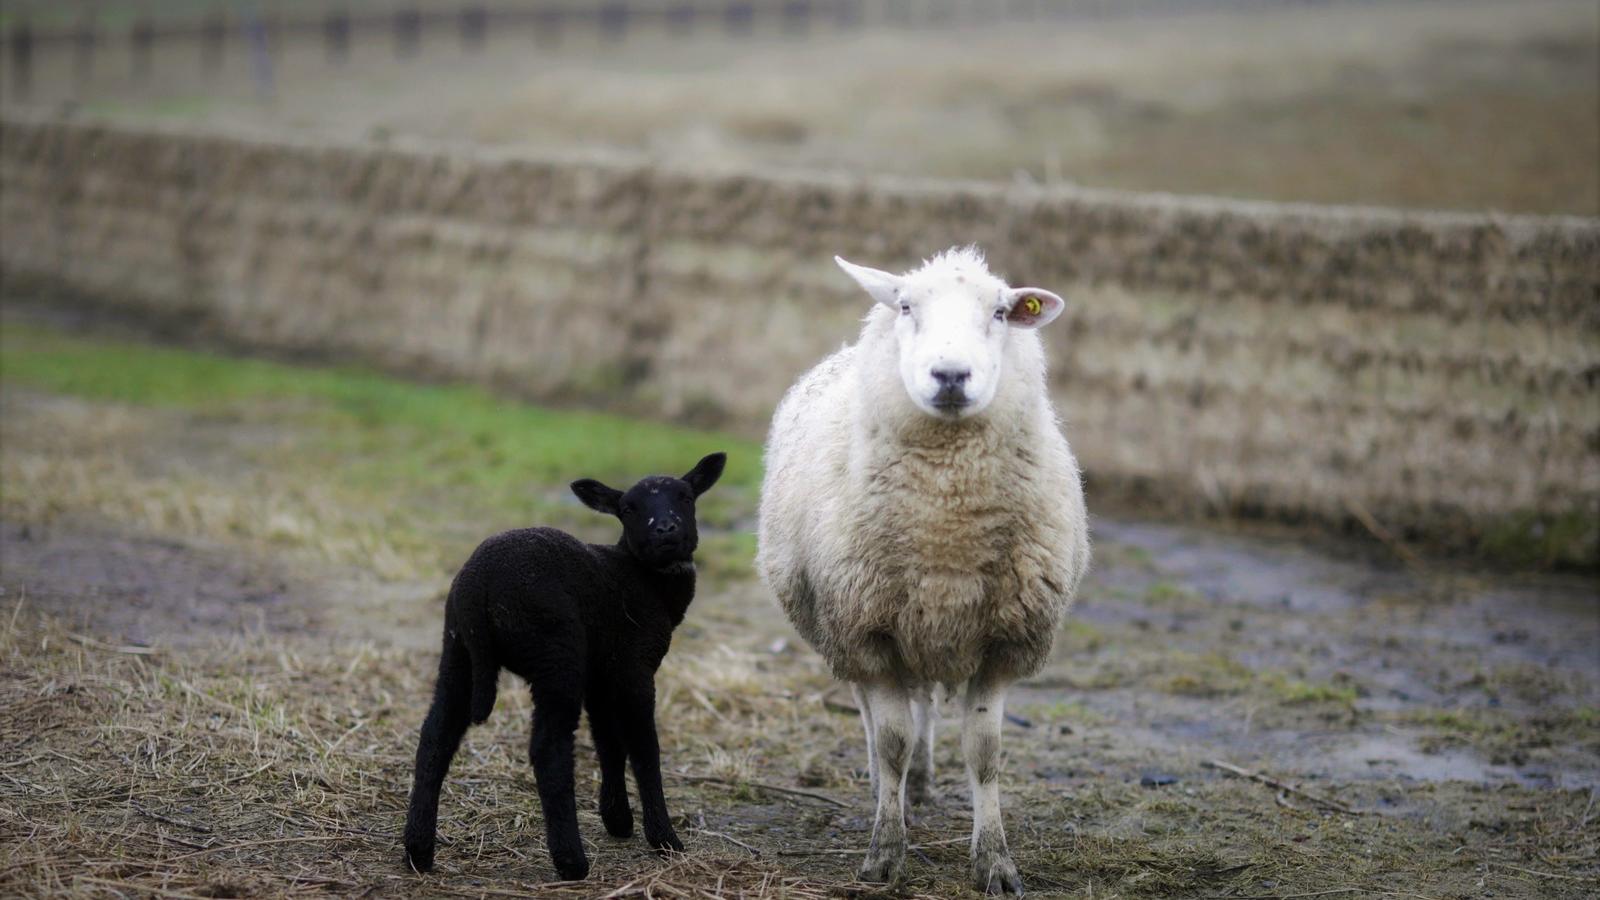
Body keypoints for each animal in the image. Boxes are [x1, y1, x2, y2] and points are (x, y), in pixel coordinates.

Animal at [403, 448, 729, 877]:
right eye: (628, 508)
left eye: (686, 497)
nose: (666, 530)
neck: (644, 582)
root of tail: (480, 583)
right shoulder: (634, 669)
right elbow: (644, 750)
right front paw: (664, 839)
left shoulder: (602, 675)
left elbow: (609, 743)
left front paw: (618, 820)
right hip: (556, 653)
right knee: (549, 751)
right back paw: (572, 861)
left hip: (457, 651)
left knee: (435, 737)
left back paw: (418, 852)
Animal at [758, 243, 1088, 890]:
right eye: (906, 306)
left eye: (1001, 312)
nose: (951, 375)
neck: (947, 532)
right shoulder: (869, 632)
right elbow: (891, 742)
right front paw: (886, 852)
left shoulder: (1003, 641)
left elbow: (984, 753)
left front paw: (995, 860)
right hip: (850, 628)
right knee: (877, 716)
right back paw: (890, 789)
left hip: (932, 633)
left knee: (928, 705)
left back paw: (925, 783)